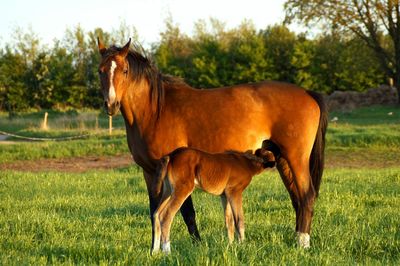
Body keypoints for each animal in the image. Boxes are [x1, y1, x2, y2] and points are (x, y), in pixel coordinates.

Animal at [152, 142, 280, 255]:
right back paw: (167, 252)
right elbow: (239, 220)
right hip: (183, 189)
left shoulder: (225, 195)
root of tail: (171, 156)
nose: (275, 165)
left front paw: (230, 246)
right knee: (166, 215)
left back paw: (155, 252)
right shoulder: (234, 191)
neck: (247, 163)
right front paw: (242, 245)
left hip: (168, 191)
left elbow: (229, 221)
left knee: (156, 214)